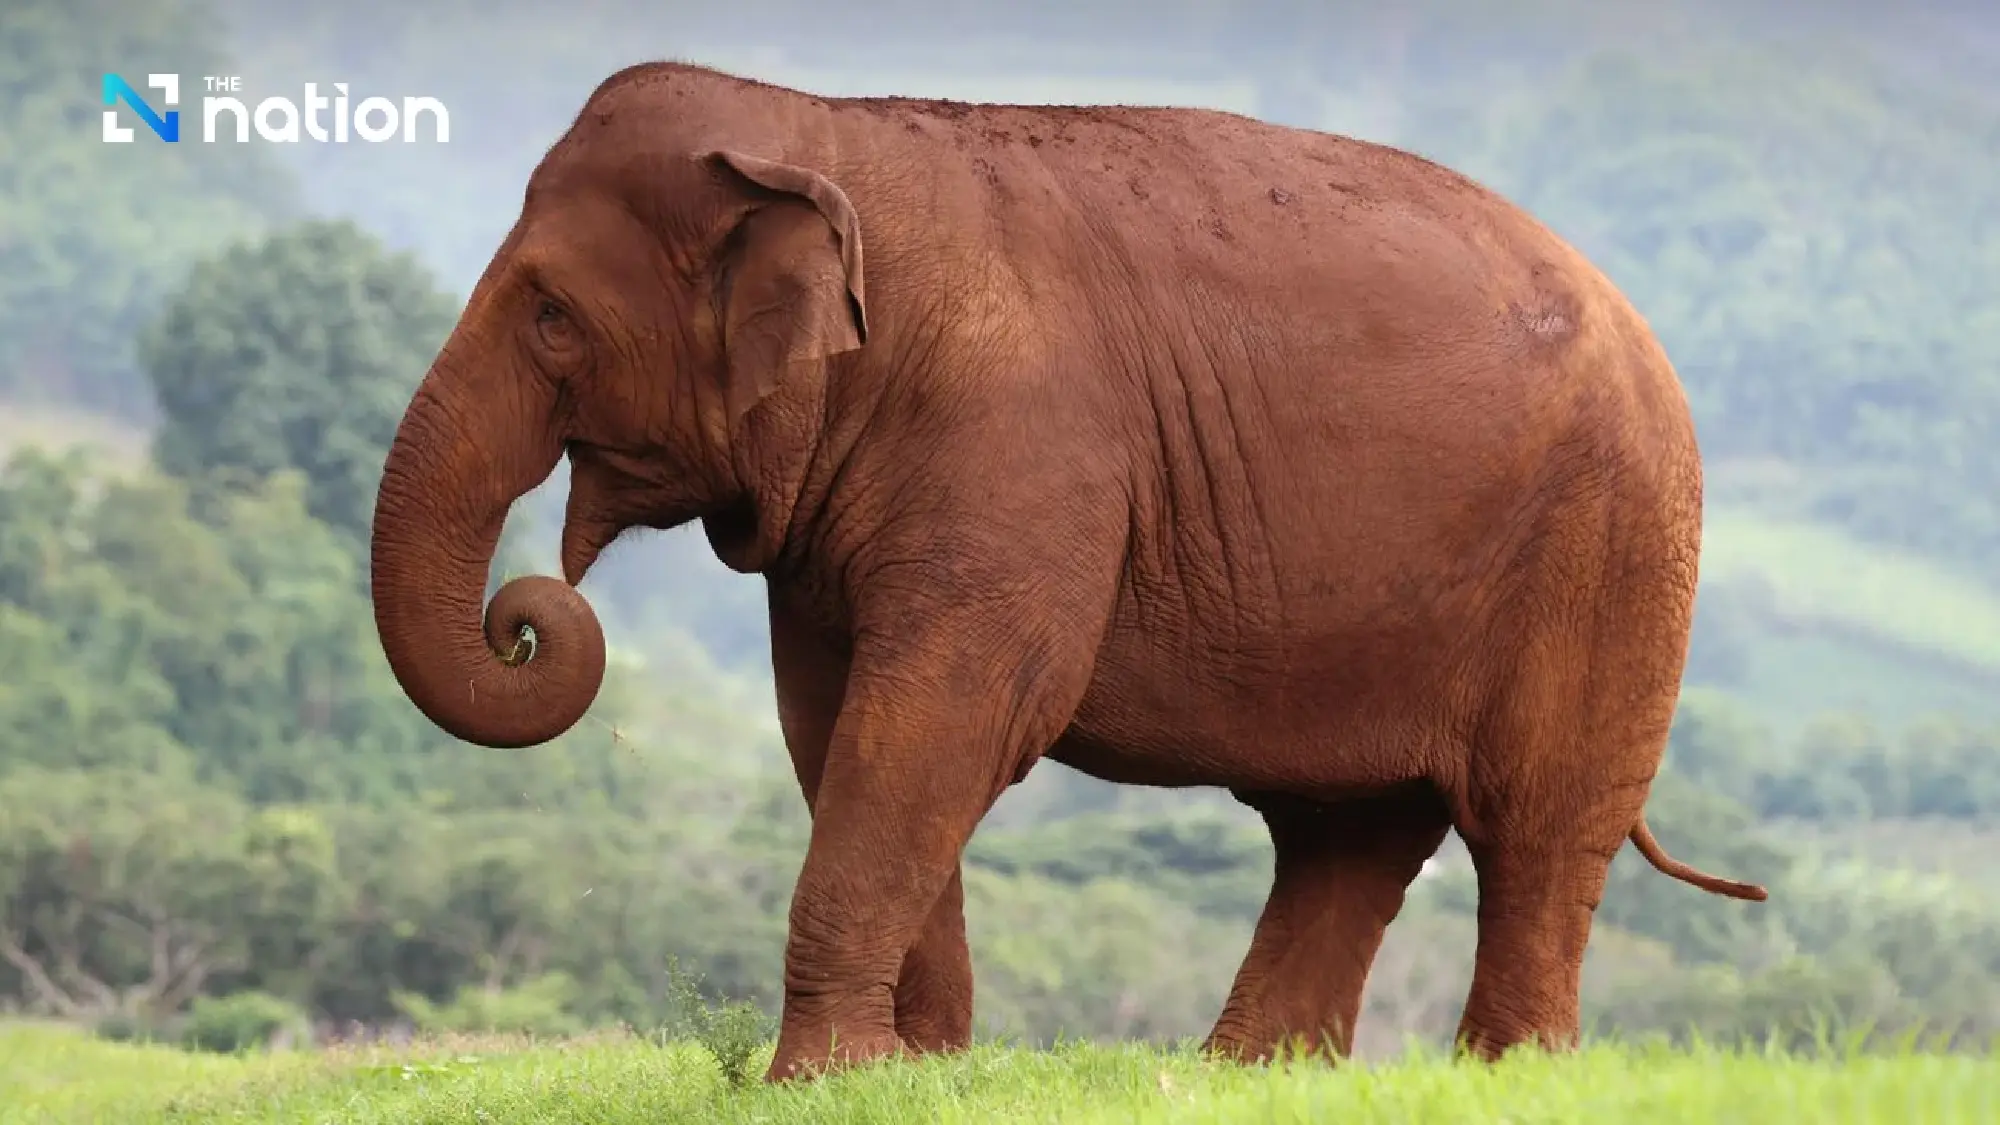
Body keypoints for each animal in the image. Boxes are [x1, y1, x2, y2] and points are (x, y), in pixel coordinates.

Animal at [369, 62, 1769, 1082]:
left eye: (551, 318)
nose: (524, 619)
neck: (815, 125)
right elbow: (834, 727)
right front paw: (912, 1074)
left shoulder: (1021, 449)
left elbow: (952, 714)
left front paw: (816, 1082)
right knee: (1346, 838)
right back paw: (1238, 1078)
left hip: (1613, 556)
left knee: (1534, 832)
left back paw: (1503, 1075)